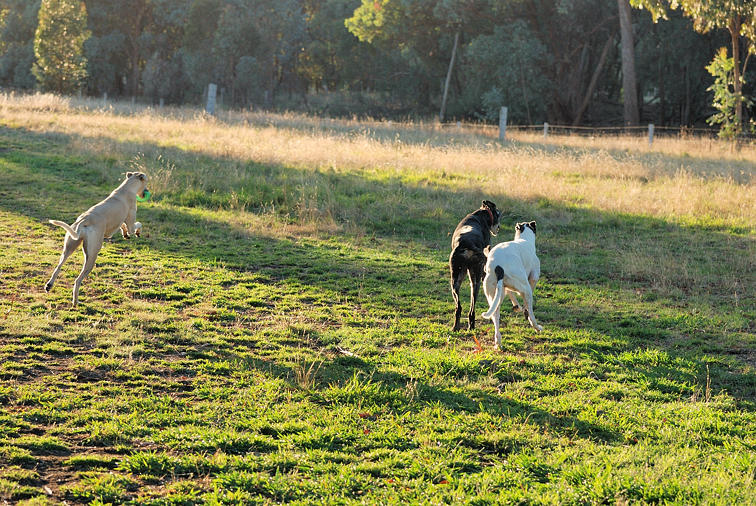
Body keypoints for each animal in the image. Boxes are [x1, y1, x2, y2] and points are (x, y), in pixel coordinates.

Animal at [45, 172, 151, 306]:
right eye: (146, 181)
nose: (147, 192)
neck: (126, 188)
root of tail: (83, 221)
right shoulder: (131, 223)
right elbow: (138, 225)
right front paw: (136, 233)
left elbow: (121, 225)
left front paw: (125, 234)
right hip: (91, 256)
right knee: (77, 280)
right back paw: (76, 301)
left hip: (68, 248)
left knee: (58, 267)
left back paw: (49, 285)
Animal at [448, 202, 502, 332]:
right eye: (498, 214)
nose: (499, 228)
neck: (482, 214)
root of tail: (466, 243)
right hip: (475, 281)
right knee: (472, 309)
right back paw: (471, 326)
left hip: (455, 281)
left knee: (459, 307)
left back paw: (456, 326)